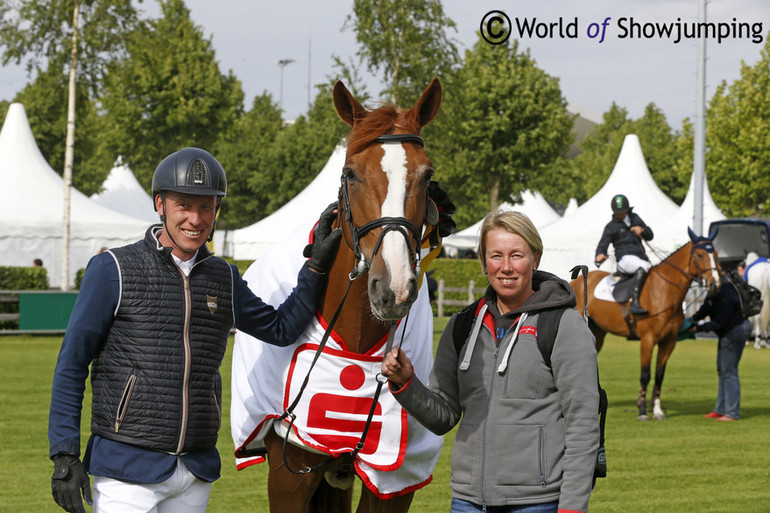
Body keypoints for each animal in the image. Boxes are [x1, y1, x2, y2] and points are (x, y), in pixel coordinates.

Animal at [568, 228, 720, 420]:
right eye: (700, 255)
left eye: (715, 254)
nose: (715, 284)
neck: (663, 291)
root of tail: (575, 282)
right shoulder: (648, 340)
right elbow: (645, 375)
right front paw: (642, 411)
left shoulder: (668, 342)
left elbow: (659, 375)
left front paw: (657, 410)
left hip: (598, 334)